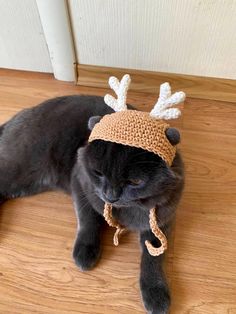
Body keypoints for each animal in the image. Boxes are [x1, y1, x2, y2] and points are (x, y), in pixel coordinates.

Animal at [0, 94, 183, 312]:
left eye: (135, 181)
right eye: (98, 173)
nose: (110, 195)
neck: (127, 208)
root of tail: (21, 114)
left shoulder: (163, 218)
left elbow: (154, 256)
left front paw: (156, 292)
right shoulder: (80, 183)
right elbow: (88, 220)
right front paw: (86, 252)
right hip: (21, 167)